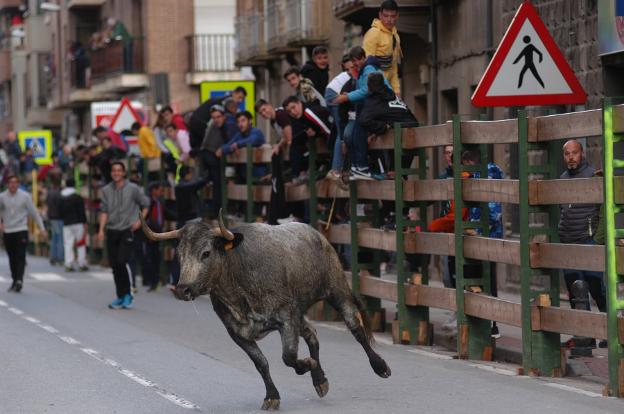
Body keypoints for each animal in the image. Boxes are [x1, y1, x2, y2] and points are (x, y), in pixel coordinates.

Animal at [141, 212, 390, 412]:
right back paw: (319, 380)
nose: (182, 289)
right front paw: (272, 396)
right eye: (179, 254)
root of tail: (315, 233)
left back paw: (380, 367)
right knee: (312, 334)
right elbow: (261, 363)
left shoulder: (286, 318)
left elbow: (288, 356)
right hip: (301, 312)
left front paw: (306, 365)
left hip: (337, 290)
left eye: (206, 253)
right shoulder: (238, 333)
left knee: (356, 328)